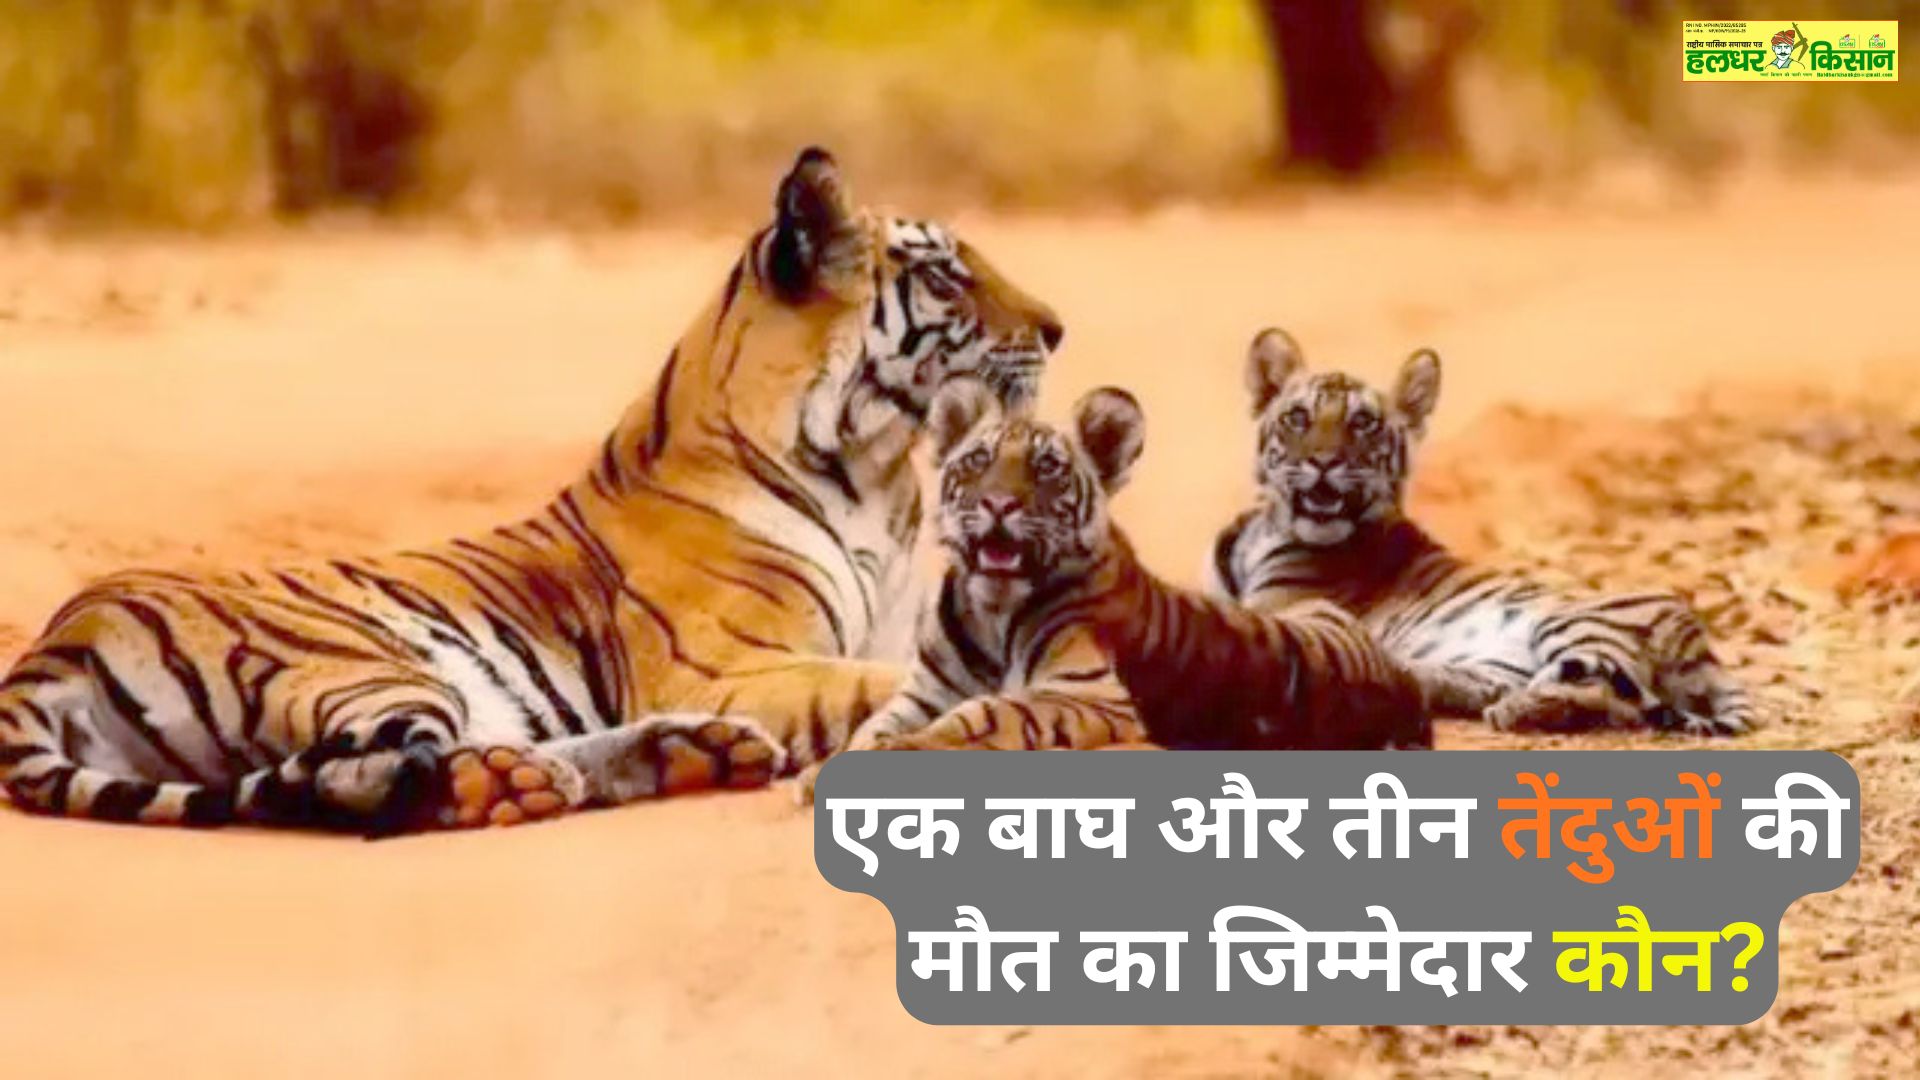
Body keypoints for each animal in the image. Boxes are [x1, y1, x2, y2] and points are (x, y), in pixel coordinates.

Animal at [0, 147, 1065, 832]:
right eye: (947, 277)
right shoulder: (731, 666)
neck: (879, 474)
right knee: (369, 779)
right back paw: (525, 785)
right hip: (363, 663)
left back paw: (685, 757)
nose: (1058, 329)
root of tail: (58, 637)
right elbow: (880, 685)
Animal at [818, 378, 1430, 770]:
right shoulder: (924, 690)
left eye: (1046, 468)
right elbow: (877, 723)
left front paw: (908, 748)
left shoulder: (1088, 692)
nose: (997, 504)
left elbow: (985, 713)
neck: (990, 608)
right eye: (977, 461)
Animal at [1209, 327, 1756, 735]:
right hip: (1502, 661)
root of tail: (1701, 642)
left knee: (1607, 694)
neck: (1264, 530)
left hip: (1574, 624)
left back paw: (1516, 710)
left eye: (1363, 423)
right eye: (1297, 417)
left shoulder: (1280, 611)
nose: (1323, 461)